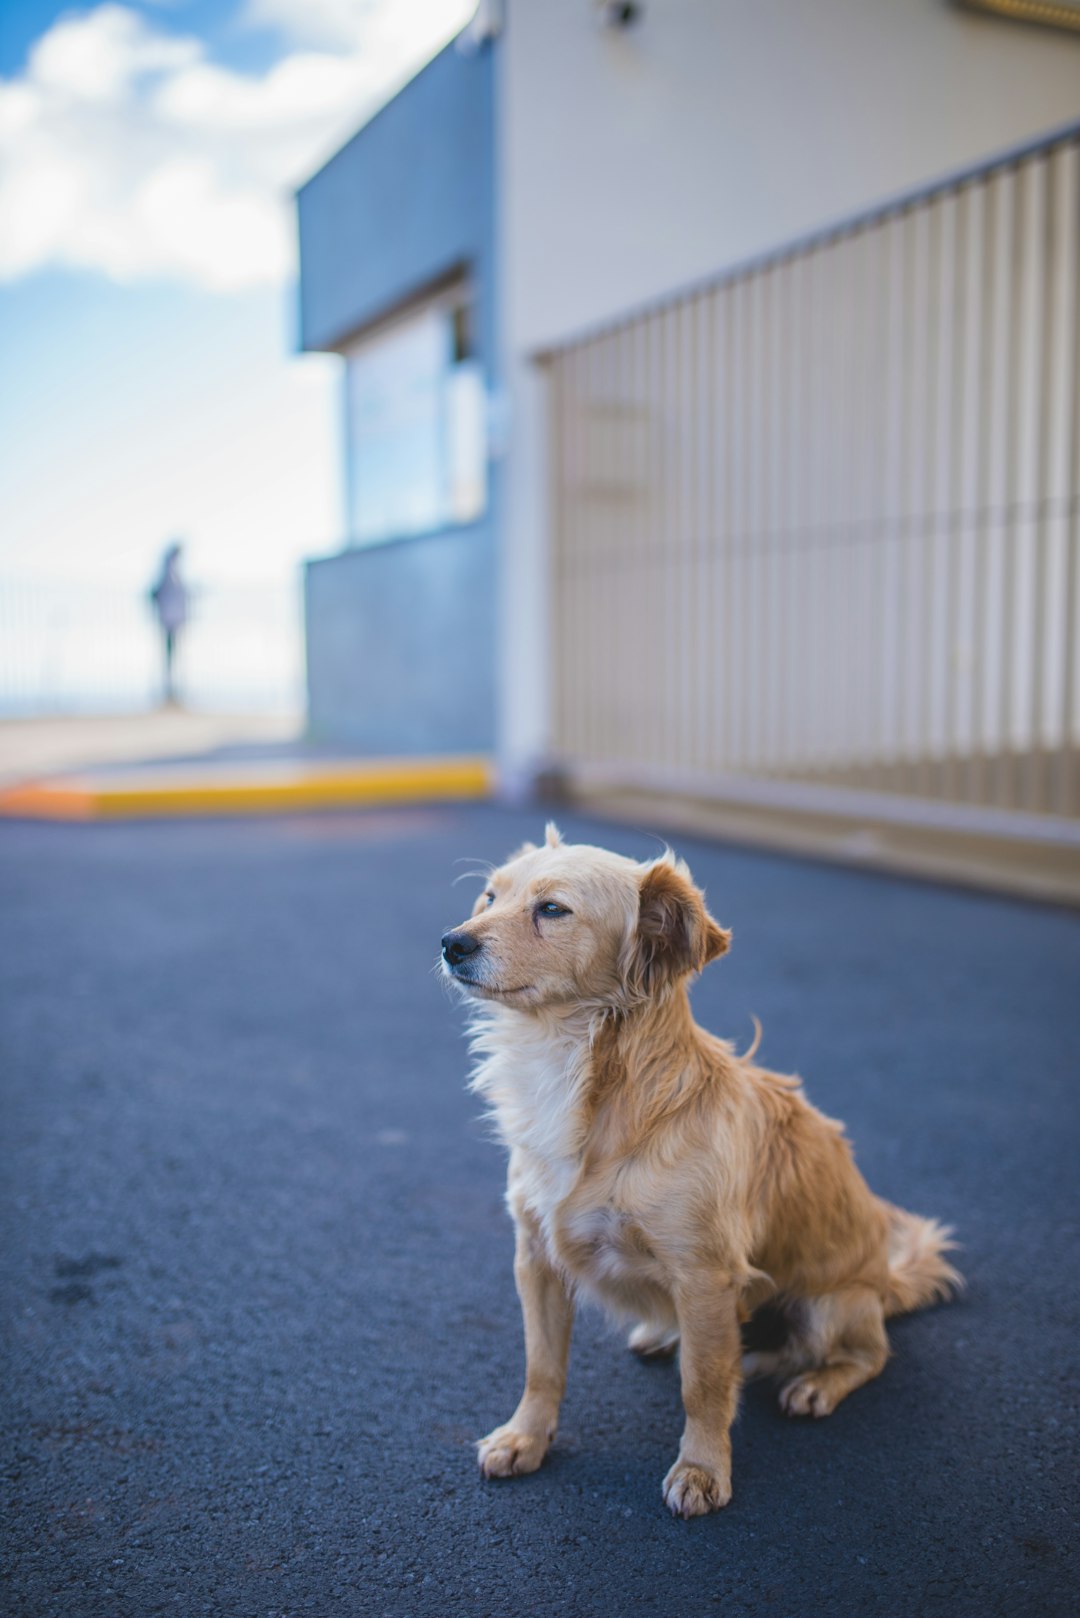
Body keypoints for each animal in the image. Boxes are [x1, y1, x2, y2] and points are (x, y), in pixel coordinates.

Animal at [440, 821, 965, 1514]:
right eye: (489, 896)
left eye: (551, 909)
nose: (451, 942)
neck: (578, 1075)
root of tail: (884, 1282)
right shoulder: (537, 1257)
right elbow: (541, 1364)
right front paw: (525, 1437)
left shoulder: (705, 1277)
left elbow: (705, 1384)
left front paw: (702, 1469)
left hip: (830, 1306)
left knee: (869, 1355)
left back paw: (818, 1383)